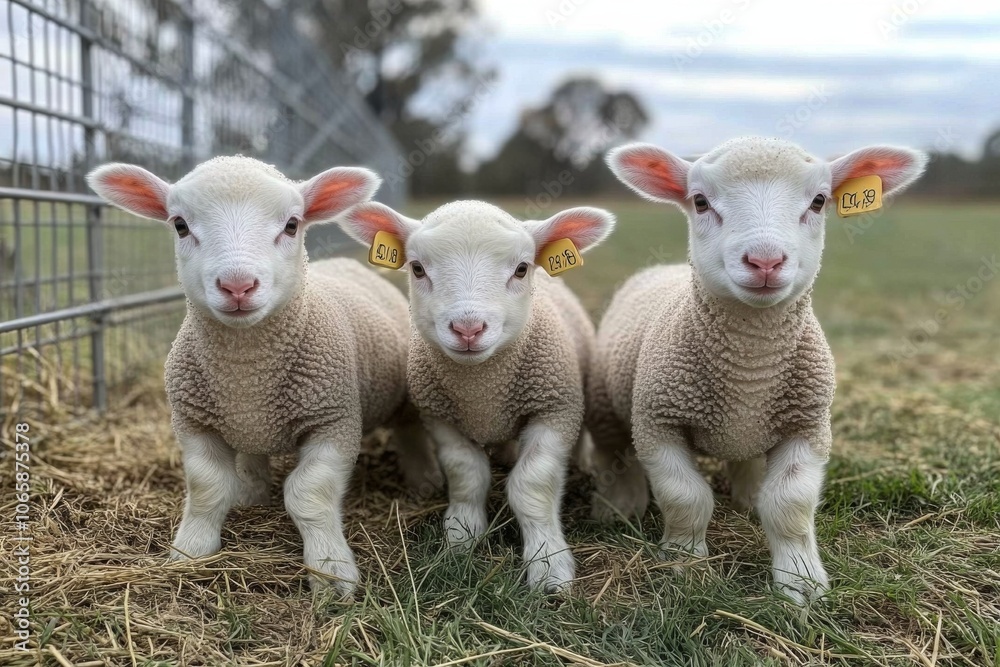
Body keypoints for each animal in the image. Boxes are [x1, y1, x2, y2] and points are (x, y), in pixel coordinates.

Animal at [86, 156, 436, 597]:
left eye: (292, 224)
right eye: (180, 225)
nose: (237, 285)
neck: (248, 372)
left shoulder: (333, 421)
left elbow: (309, 494)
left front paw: (331, 573)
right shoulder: (193, 422)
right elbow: (207, 487)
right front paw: (190, 552)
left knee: (409, 428)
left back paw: (423, 479)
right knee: (252, 453)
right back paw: (251, 492)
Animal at [336, 200, 615, 592]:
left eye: (521, 269)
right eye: (417, 268)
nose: (468, 329)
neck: (482, 388)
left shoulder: (554, 409)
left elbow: (532, 484)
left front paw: (548, 567)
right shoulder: (440, 416)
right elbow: (467, 475)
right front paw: (461, 538)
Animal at [593, 137, 927, 604]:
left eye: (819, 201)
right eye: (700, 201)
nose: (765, 261)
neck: (748, 368)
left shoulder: (808, 425)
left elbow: (790, 503)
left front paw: (801, 582)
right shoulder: (658, 422)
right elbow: (685, 497)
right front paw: (685, 566)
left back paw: (748, 499)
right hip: (609, 406)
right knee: (617, 455)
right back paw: (619, 507)